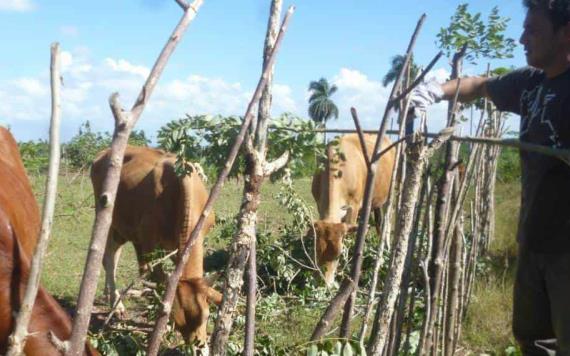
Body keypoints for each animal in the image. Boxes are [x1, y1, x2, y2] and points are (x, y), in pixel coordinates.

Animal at [90, 146, 221, 346]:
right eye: (176, 320)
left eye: (206, 316)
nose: (197, 346)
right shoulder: (148, 243)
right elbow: (158, 280)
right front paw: (163, 327)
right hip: (107, 217)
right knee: (109, 258)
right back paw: (116, 304)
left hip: (121, 228)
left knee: (114, 254)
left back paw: (109, 296)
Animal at [310, 134, 394, 286]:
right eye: (316, 250)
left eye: (338, 254)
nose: (324, 283)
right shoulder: (320, 204)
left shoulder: (354, 208)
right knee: (378, 220)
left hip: (391, 191)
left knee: (387, 221)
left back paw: (386, 247)